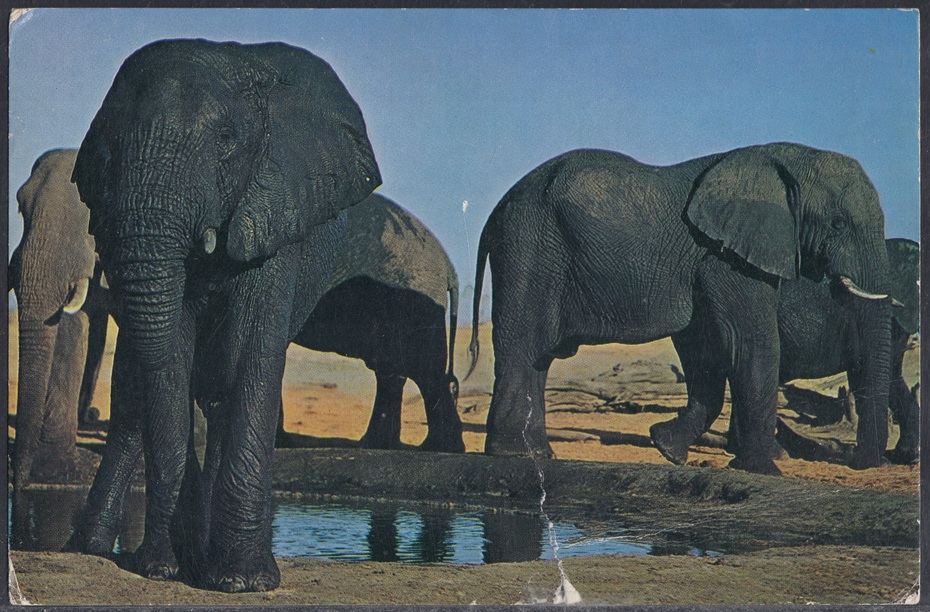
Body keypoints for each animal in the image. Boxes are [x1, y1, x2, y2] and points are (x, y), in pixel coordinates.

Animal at [66, 39, 380, 592]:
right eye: (109, 149)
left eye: (227, 142)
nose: (179, 558)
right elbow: (170, 354)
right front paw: (166, 567)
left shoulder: (275, 208)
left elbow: (248, 355)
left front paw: (243, 581)